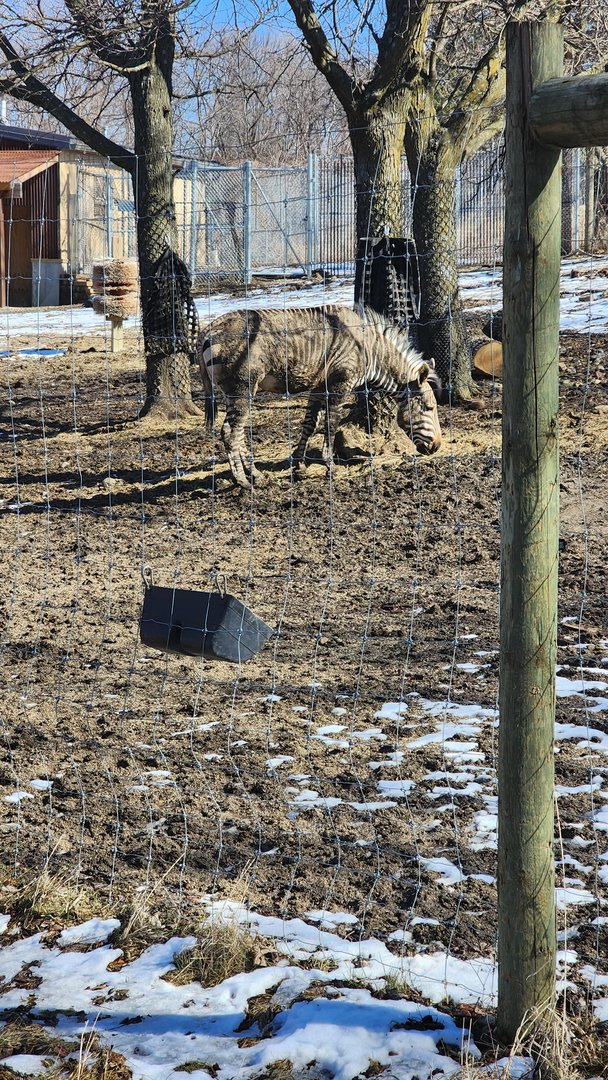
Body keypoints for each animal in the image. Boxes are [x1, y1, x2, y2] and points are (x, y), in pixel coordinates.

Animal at [197, 305, 442, 489]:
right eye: (429, 408)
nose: (437, 447)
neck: (368, 350)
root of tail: (207, 331)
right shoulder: (340, 384)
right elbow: (331, 424)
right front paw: (330, 466)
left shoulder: (318, 387)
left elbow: (310, 424)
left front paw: (299, 465)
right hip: (243, 387)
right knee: (230, 432)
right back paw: (242, 481)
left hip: (237, 391)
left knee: (235, 432)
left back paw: (255, 474)